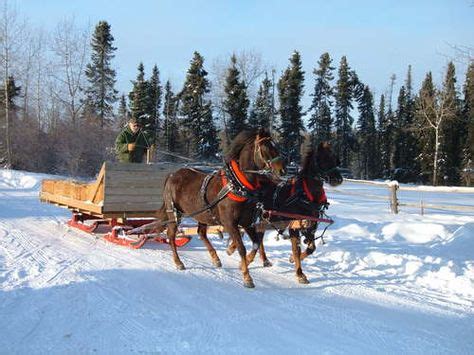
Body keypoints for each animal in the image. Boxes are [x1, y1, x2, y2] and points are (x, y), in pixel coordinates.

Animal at [155, 129, 286, 290]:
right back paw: (178, 262)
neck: (237, 185)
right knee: (171, 235)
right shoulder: (230, 223)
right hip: (174, 213)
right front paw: (247, 277)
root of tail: (173, 174)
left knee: (201, 233)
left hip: (203, 214)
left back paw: (215, 258)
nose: (283, 169)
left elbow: (255, 243)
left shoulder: (247, 222)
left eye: (275, 144)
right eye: (266, 147)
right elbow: (241, 248)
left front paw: (242, 261)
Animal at [229, 141, 342, 284]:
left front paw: (292, 259)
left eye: (336, 159)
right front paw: (300, 273)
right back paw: (239, 253)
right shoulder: (294, 226)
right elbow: (296, 249)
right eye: (323, 159)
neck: (305, 195)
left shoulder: (310, 226)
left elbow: (311, 248)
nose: (338, 179)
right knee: (253, 237)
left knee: (258, 240)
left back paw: (262, 259)